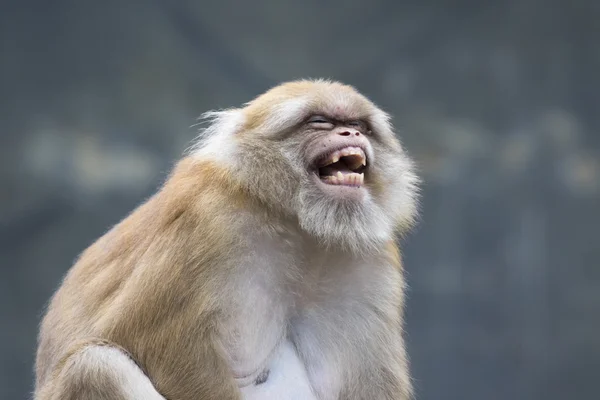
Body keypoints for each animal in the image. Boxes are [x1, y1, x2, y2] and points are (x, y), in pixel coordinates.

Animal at [32, 79, 418, 400]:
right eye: (320, 121)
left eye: (361, 126)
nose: (351, 132)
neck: (294, 223)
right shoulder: (207, 220)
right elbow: (157, 342)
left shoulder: (370, 258)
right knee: (94, 367)